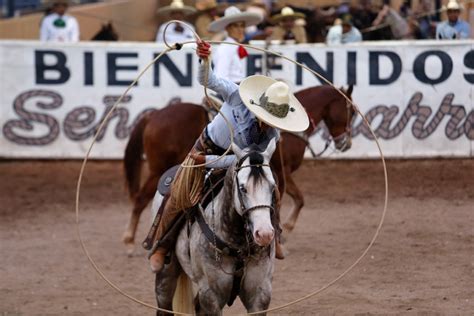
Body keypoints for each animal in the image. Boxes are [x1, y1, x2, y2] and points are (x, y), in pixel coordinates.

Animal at [122, 85, 352, 251]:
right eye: (350, 111)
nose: (346, 144)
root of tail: (151, 115)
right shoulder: (283, 171)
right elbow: (299, 198)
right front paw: (285, 230)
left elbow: (294, 199)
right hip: (157, 170)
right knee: (141, 199)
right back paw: (130, 241)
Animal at [155, 141, 278, 316]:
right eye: (243, 188)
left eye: (272, 187)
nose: (265, 234)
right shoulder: (211, 295)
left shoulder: (260, 296)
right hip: (166, 278)